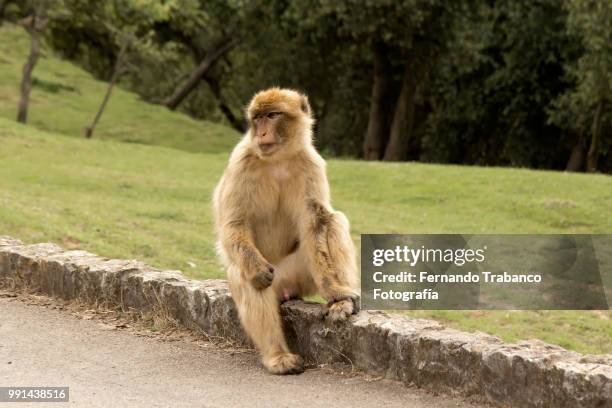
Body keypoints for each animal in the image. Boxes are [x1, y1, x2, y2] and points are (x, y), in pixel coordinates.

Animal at [214, 87, 360, 374]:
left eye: (272, 116)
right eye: (257, 119)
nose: (261, 133)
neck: (278, 159)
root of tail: (286, 289)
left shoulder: (311, 163)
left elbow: (317, 222)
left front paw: (336, 292)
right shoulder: (240, 162)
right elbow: (234, 225)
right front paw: (256, 270)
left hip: (301, 275)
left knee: (334, 221)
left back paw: (340, 302)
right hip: (276, 276)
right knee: (245, 274)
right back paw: (278, 356)